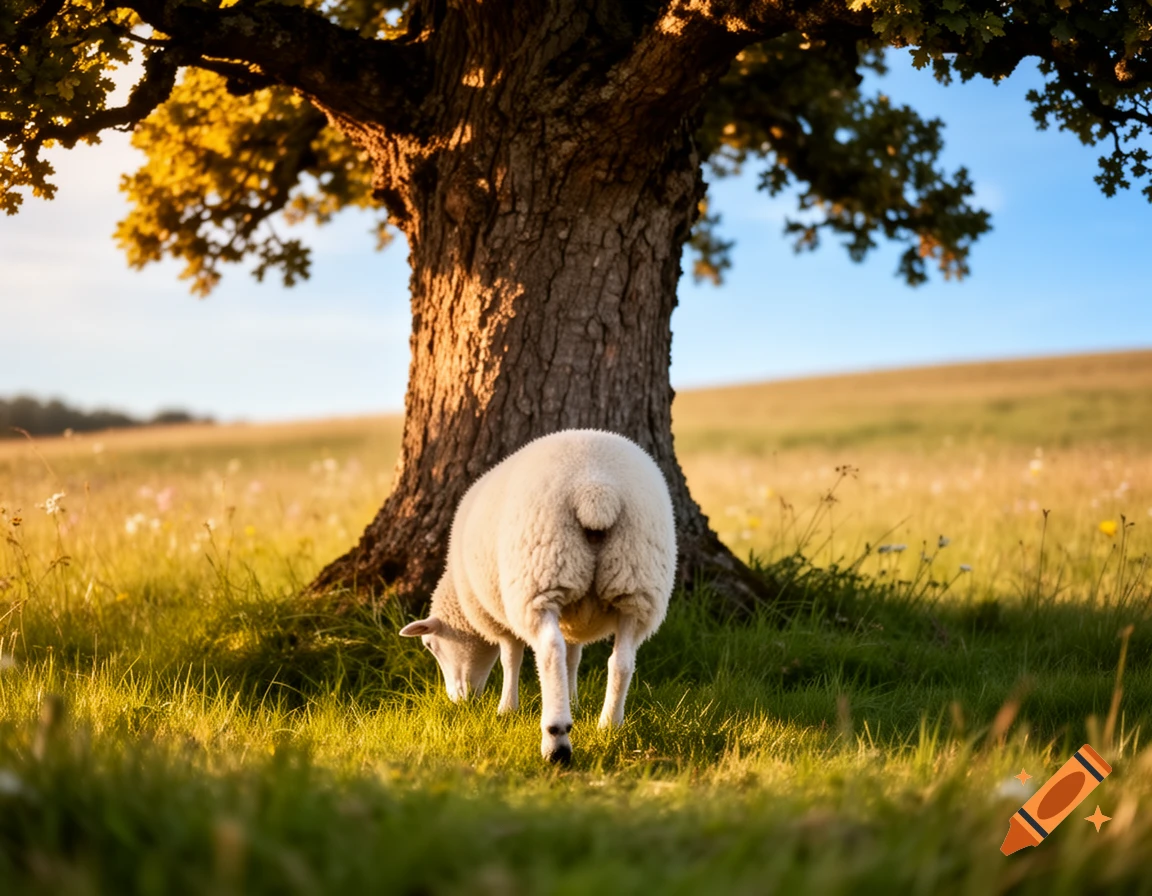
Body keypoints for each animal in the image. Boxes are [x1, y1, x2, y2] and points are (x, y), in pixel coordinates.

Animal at [399, 428, 677, 764]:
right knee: (621, 661)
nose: (458, 701)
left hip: (539, 580)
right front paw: (574, 699)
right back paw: (608, 726)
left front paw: (507, 709)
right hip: (637, 583)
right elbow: (573, 657)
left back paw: (556, 739)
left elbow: (511, 657)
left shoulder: (501, 613)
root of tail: (597, 493)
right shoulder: (575, 614)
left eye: (430, 645)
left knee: (550, 650)